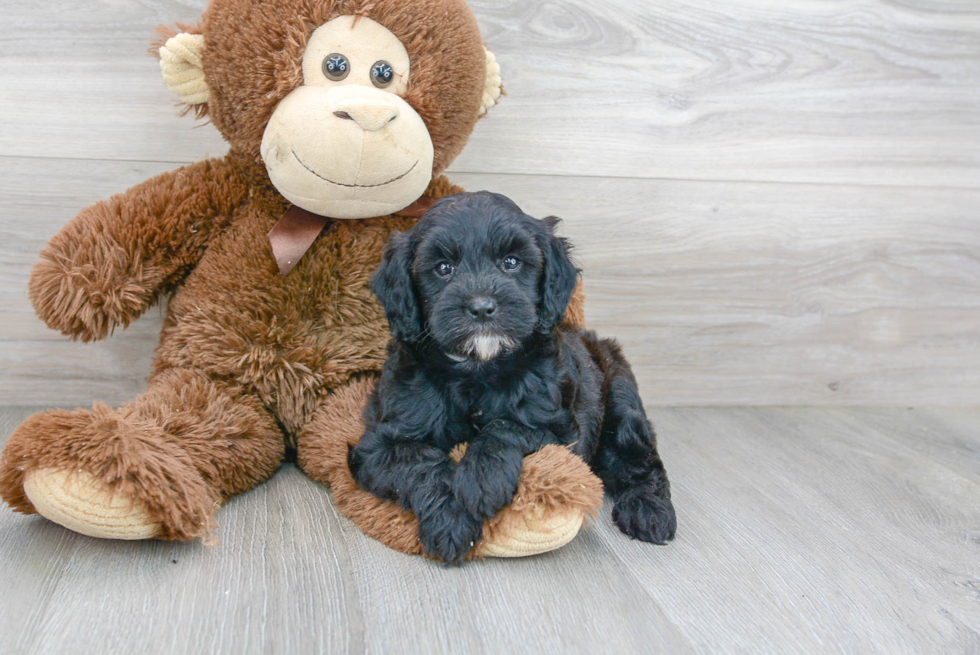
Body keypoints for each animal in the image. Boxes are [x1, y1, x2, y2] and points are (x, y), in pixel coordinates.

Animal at [348, 191, 676, 564]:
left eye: (511, 262)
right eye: (443, 268)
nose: (481, 307)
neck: (477, 369)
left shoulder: (559, 429)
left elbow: (506, 427)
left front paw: (481, 480)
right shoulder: (379, 445)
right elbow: (421, 462)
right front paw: (450, 519)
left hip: (619, 394)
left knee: (639, 456)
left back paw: (649, 511)